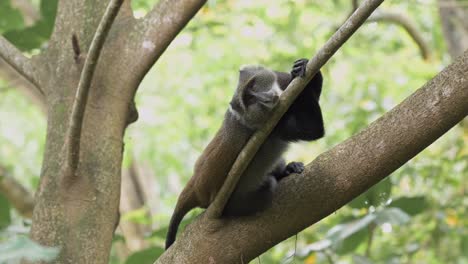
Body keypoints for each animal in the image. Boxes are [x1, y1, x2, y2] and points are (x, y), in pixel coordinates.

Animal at [165, 58, 326, 250]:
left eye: (253, 87)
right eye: (249, 98)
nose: (264, 98)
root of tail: (195, 188)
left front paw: (301, 67)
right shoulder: (268, 128)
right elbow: (313, 129)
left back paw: (288, 169)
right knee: (267, 186)